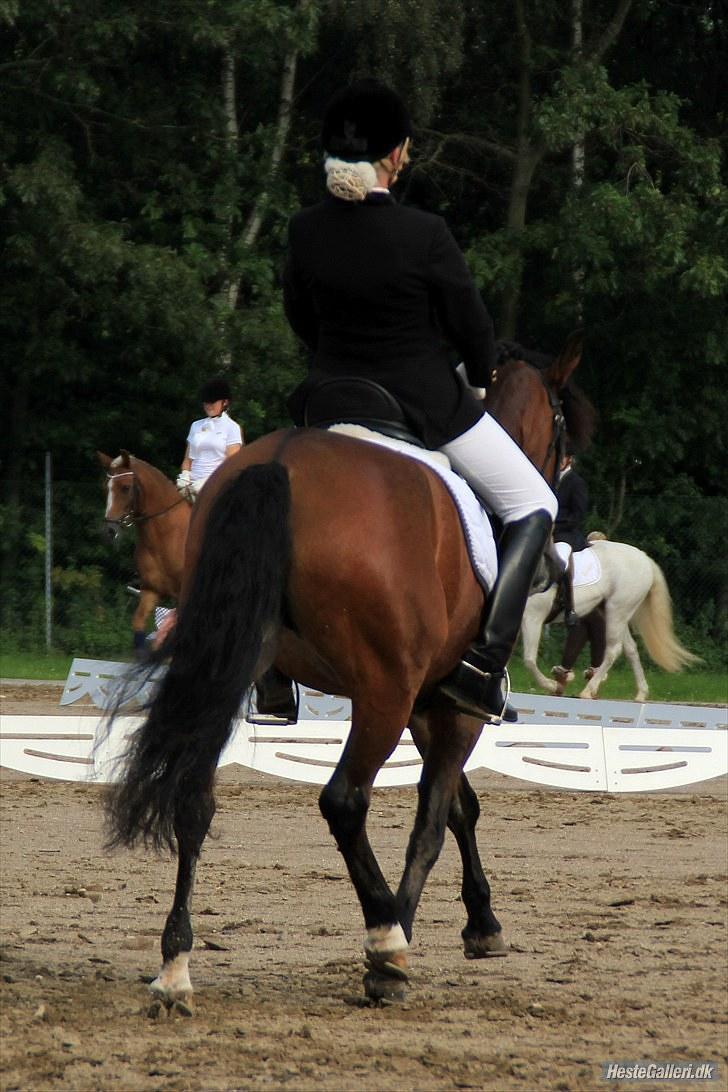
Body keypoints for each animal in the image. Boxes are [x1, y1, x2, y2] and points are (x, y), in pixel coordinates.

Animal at [517, 537, 698, 698]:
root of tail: (645, 558)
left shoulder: (532, 618)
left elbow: (529, 660)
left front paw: (551, 685)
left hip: (617, 611)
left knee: (613, 650)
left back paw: (589, 690)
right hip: (616, 613)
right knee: (630, 648)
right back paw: (641, 693)